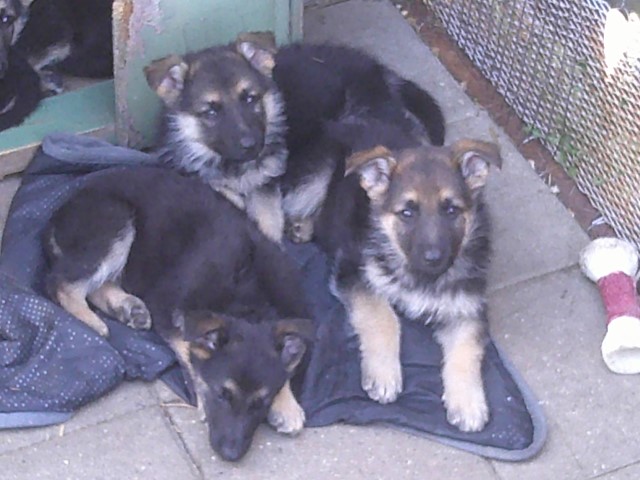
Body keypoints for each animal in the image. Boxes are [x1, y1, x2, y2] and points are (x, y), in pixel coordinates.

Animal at [42, 166, 316, 462]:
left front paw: (286, 404)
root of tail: (62, 209)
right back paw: (93, 323)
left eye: (261, 403)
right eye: (222, 395)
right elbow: (189, 349)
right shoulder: (167, 309)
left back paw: (126, 307)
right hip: (116, 222)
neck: (248, 293)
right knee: (63, 283)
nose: (230, 455)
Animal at [312, 140, 502, 436]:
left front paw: (468, 402)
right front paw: (383, 372)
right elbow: (383, 317)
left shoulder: (467, 308)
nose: (434, 258)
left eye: (451, 210)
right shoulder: (353, 272)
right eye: (407, 213)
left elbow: (468, 350)